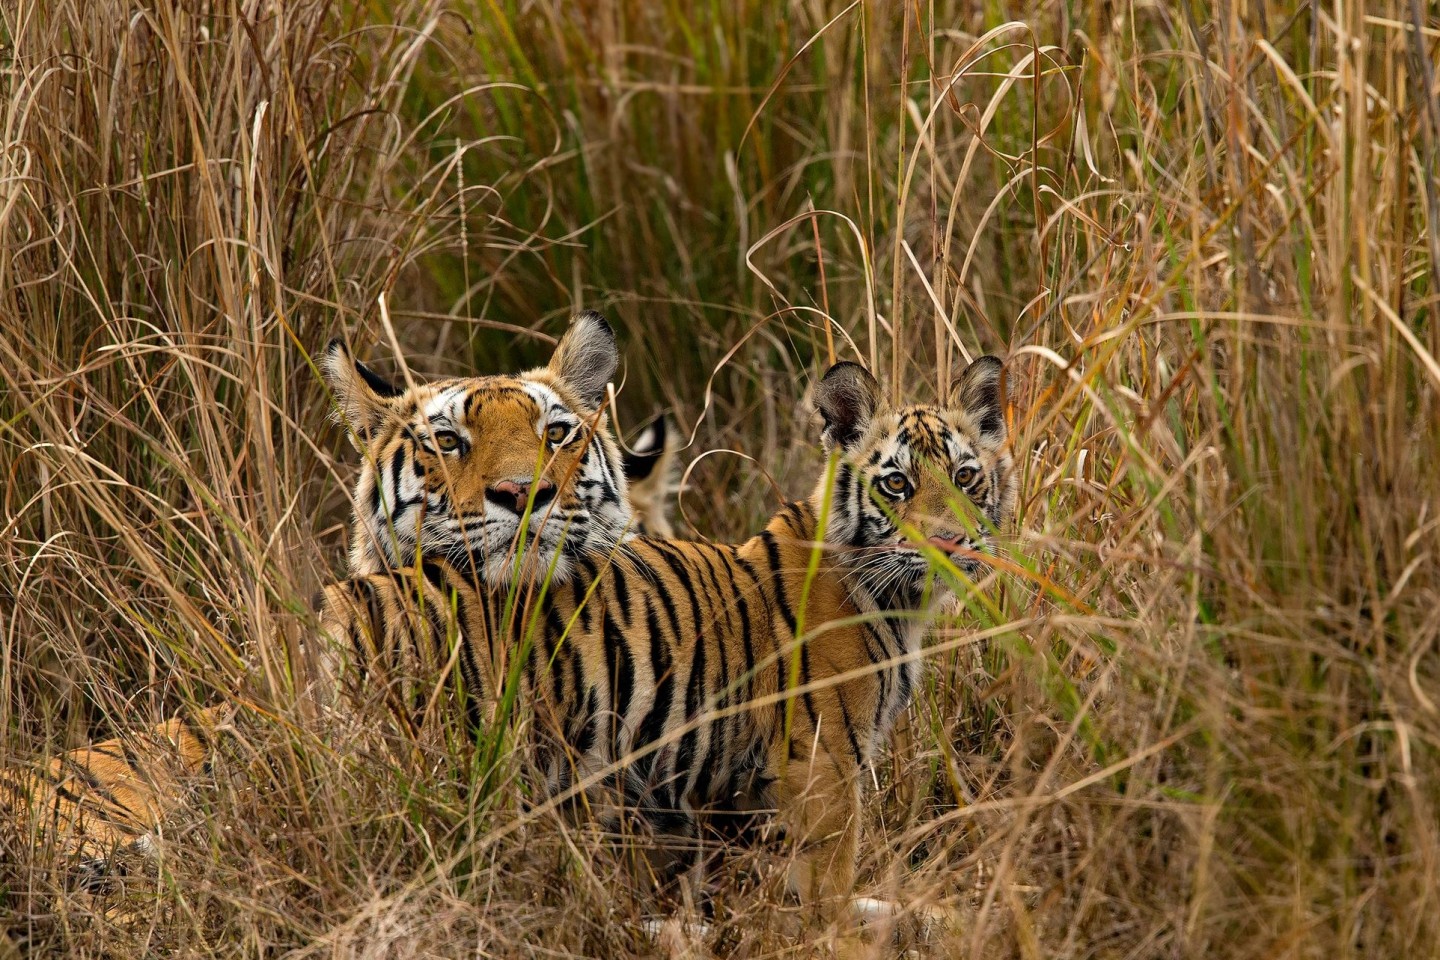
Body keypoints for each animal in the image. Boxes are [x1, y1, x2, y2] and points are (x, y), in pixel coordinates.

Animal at [321, 346, 1019, 909]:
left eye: (965, 477)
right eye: (896, 484)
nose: (950, 542)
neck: (900, 603)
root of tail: (341, 602)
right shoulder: (822, 770)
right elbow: (831, 891)